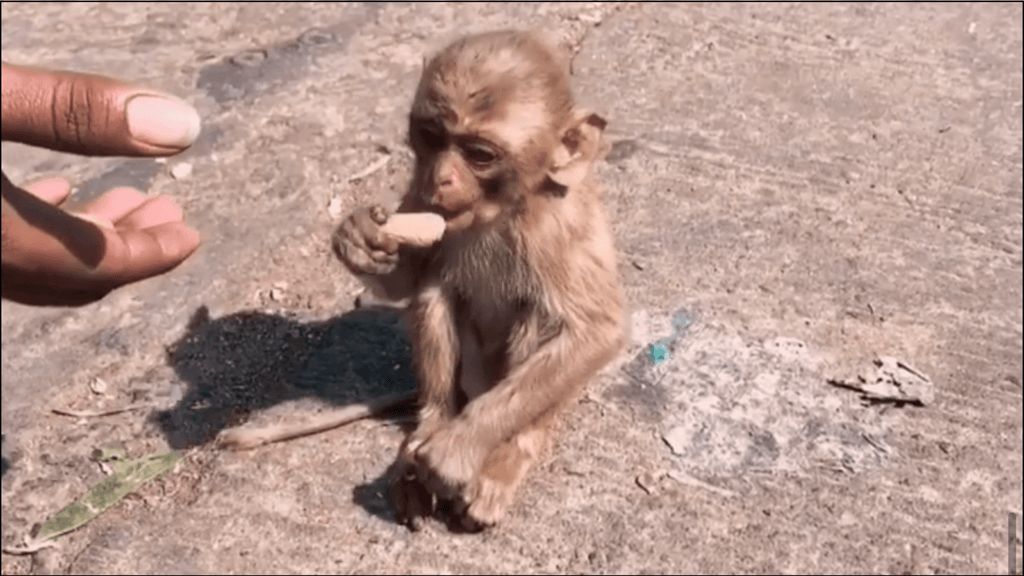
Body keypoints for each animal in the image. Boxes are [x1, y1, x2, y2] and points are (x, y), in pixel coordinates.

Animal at [333, 29, 622, 528]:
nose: (442, 177)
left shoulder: (556, 227)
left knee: (539, 315)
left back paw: (501, 457)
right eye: (431, 137)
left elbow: (599, 330)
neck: (500, 213)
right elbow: (411, 277)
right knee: (435, 290)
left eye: (480, 155)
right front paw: (358, 238)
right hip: (471, 376)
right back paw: (430, 426)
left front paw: (460, 447)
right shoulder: (421, 197)